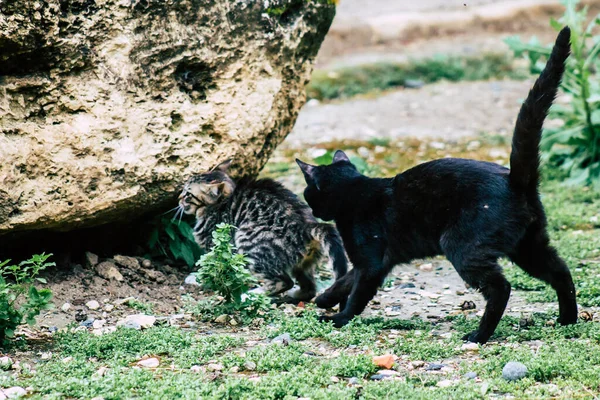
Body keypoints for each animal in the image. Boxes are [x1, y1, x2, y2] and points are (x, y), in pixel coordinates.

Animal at [178, 159, 346, 300]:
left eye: (188, 194)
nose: (179, 198)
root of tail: (306, 226)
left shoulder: (217, 245)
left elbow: (212, 266)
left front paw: (198, 278)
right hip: (303, 266)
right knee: (309, 288)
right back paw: (295, 294)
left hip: (247, 241)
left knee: (283, 282)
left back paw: (250, 295)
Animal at [296, 27, 576, 344]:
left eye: (308, 194)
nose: (312, 210)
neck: (354, 194)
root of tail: (515, 180)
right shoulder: (374, 261)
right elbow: (345, 281)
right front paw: (324, 299)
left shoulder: (372, 263)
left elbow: (357, 293)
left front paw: (340, 318)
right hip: (528, 245)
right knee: (561, 272)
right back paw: (567, 320)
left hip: (463, 246)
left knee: (501, 288)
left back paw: (479, 334)